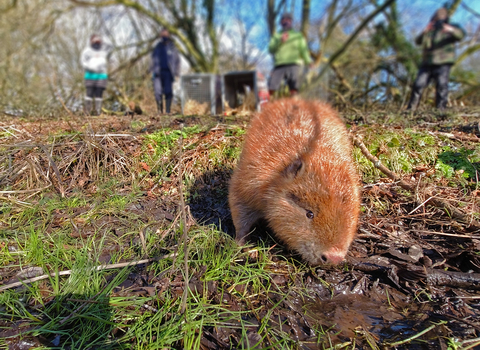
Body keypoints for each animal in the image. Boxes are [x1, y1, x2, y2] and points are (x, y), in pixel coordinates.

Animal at [229, 97, 360, 264]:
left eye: (350, 214)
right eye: (309, 213)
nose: (333, 257)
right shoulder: (251, 176)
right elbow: (239, 207)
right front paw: (240, 244)